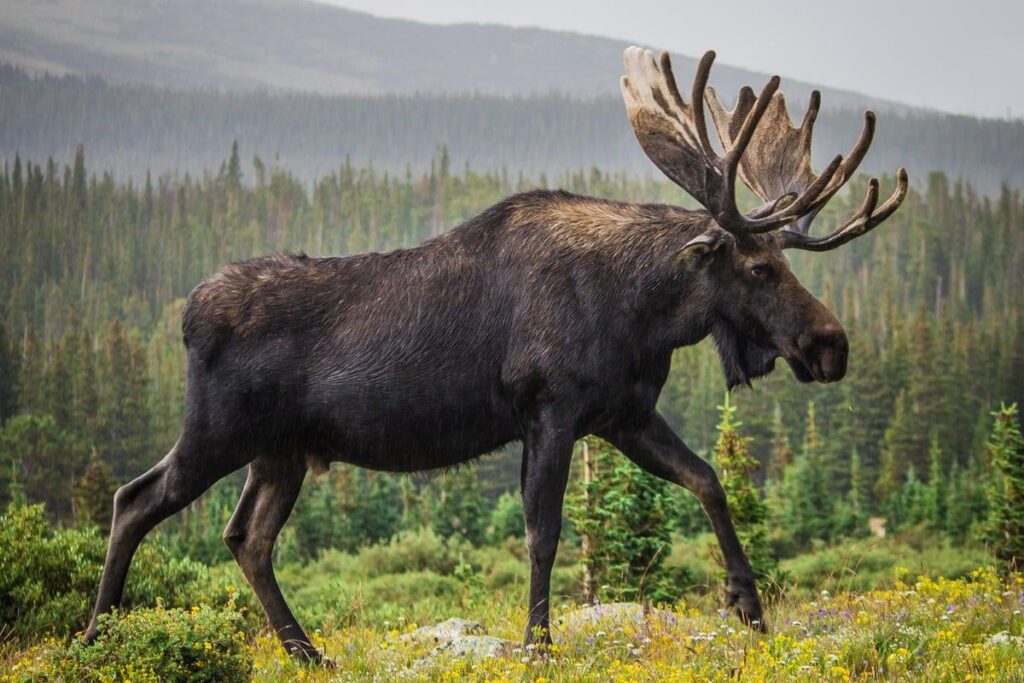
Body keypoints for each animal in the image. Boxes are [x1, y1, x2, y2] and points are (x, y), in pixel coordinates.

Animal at [85, 47, 907, 663]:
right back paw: (96, 635)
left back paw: (306, 651)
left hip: (280, 451)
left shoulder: (622, 414)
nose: (831, 346)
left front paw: (749, 604)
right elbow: (544, 530)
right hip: (218, 430)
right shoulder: (551, 409)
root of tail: (187, 314)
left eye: (784, 261)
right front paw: (538, 645)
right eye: (760, 267)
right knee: (135, 499)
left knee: (246, 537)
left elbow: (707, 479)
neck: (642, 313)